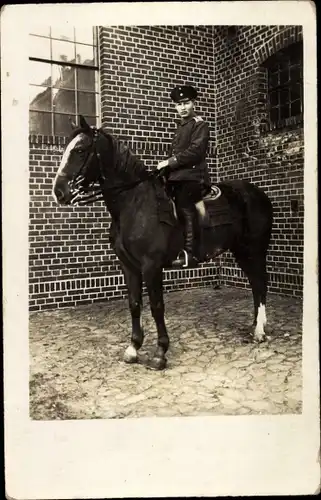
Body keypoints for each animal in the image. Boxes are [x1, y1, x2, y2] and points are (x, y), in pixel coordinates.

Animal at [52, 115, 272, 370]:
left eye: (79, 150)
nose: (58, 192)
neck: (134, 203)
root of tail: (258, 194)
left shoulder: (151, 266)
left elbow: (157, 307)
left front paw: (160, 353)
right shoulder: (129, 266)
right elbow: (134, 303)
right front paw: (133, 347)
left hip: (254, 250)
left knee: (260, 283)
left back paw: (259, 331)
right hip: (240, 251)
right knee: (255, 284)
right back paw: (256, 325)